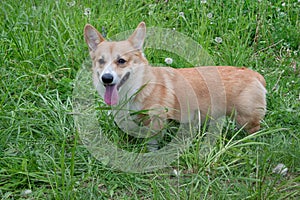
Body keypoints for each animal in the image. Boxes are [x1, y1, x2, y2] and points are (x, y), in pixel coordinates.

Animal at [83, 21, 266, 134]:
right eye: (101, 61)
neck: (137, 88)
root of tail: (255, 75)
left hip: (246, 118)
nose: (106, 78)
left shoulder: (156, 120)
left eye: (121, 61)